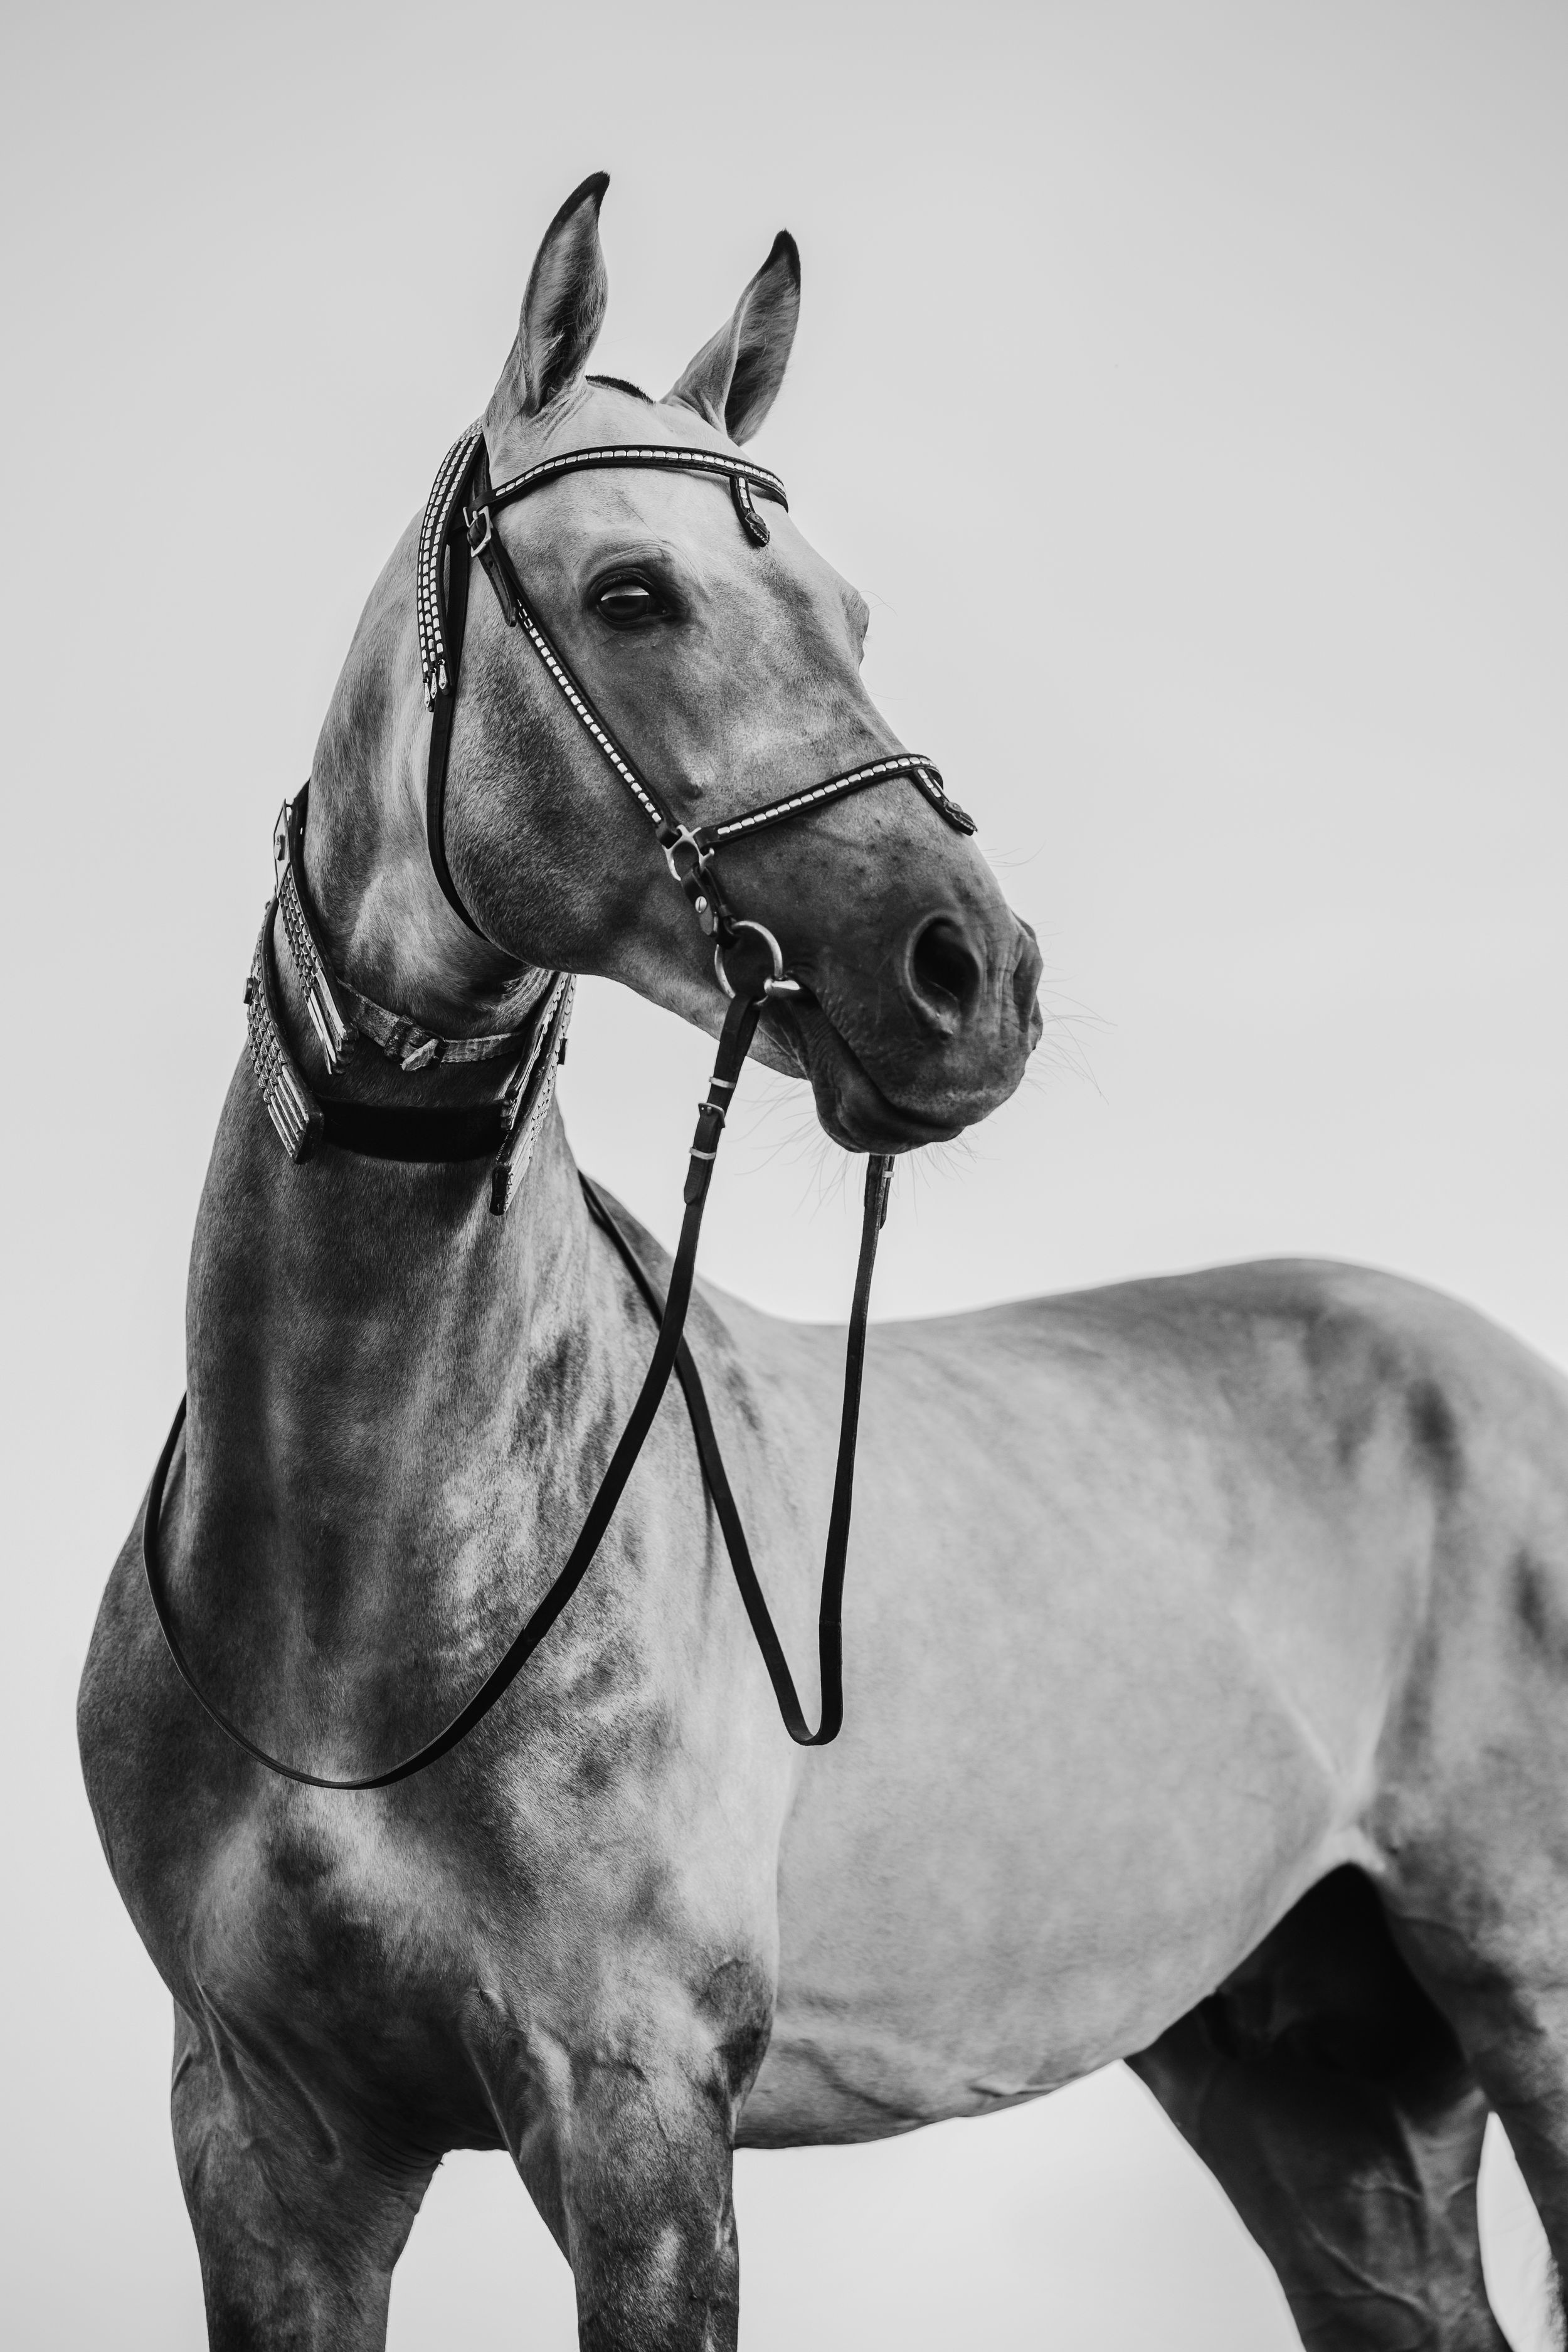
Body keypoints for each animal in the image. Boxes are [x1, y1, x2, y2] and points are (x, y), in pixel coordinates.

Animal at [79, 172, 1568, 2352]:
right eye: (631, 593)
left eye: (851, 614)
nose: (972, 974)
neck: (360, 1583)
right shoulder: (268, 2139)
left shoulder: (632, 2108)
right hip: (1317, 2080)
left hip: (1526, 1983)